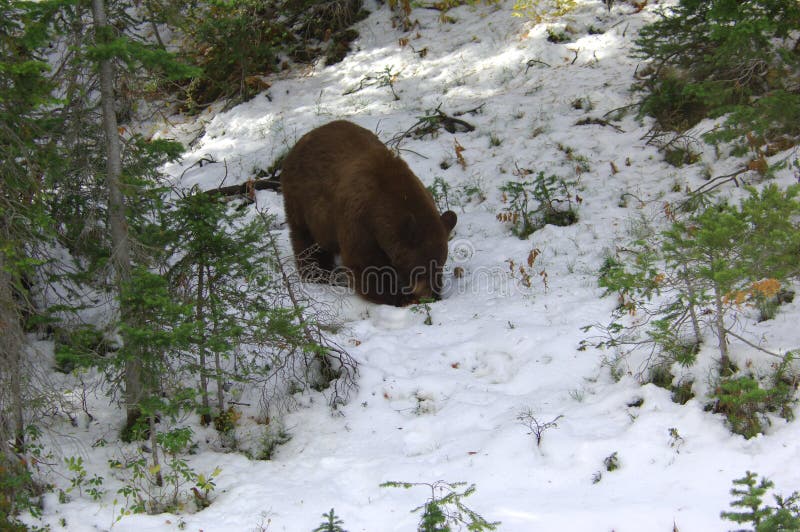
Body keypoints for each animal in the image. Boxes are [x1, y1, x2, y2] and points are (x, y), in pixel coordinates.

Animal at [280, 118, 456, 306]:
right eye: (421, 268)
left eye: (440, 264)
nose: (429, 295)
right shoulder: (359, 221)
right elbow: (365, 265)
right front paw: (397, 296)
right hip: (301, 201)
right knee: (306, 239)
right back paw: (316, 274)